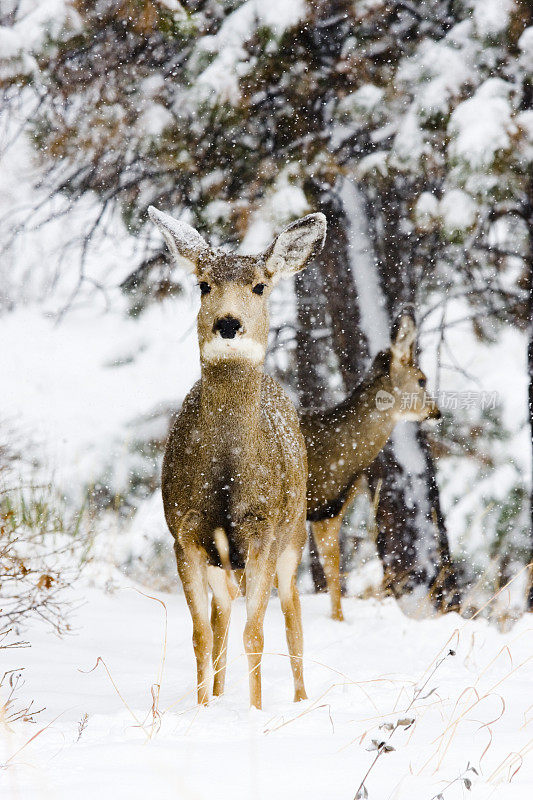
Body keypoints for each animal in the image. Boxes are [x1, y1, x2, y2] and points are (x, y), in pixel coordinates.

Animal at [148, 205, 326, 708]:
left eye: (260, 285)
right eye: (204, 284)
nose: (228, 323)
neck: (228, 476)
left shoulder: (262, 530)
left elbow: (256, 634)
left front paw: (254, 710)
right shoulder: (185, 533)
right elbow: (202, 635)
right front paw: (205, 708)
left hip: (293, 534)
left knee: (292, 612)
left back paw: (301, 698)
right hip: (223, 558)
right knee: (222, 614)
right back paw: (221, 693)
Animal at [300, 310, 440, 620]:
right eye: (422, 380)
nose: (437, 413)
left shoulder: (325, 507)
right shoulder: (325, 504)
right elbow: (332, 568)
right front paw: (338, 621)